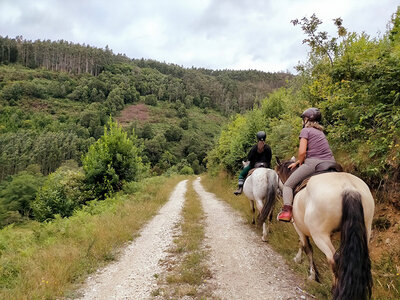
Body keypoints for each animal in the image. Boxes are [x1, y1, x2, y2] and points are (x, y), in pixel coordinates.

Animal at [276, 157, 376, 300]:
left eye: (277, 174)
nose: (278, 192)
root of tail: (349, 189)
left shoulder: (298, 227)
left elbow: (306, 247)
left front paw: (313, 275)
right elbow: (302, 244)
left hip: (320, 235)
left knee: (334, 259)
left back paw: (335, 290)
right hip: (365, 230)